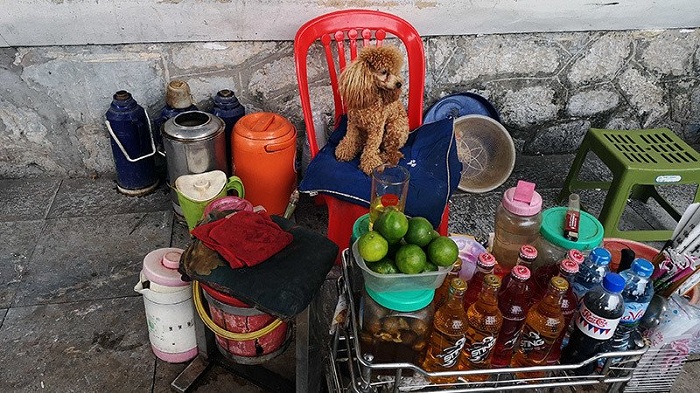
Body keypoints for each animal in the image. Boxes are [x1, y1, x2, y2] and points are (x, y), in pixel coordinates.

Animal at [334, 45, 410, 174]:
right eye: (384, 72)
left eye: (395, 72)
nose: (399, 83)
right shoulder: (353, 123)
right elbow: (350, 138)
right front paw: (345, 151)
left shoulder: (376, 129)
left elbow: (371, 147)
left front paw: (370, 163)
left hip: (394, 128)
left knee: (393, 153)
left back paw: (383, 157)